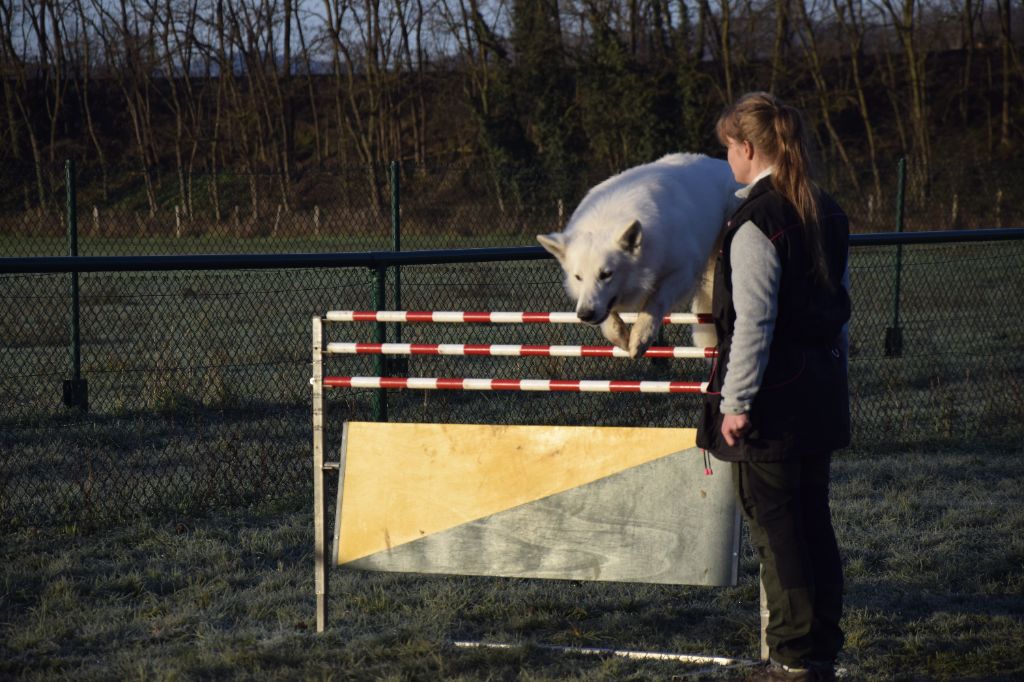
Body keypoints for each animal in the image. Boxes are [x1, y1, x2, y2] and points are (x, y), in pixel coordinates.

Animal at [536, 153, 737, 356]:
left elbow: (656, 301)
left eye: (606, 275)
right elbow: (608, 318)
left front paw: (641, 337)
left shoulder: (682, 273)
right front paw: (619, 335)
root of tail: (723, 165)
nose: (584, 314)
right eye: (578, 277)